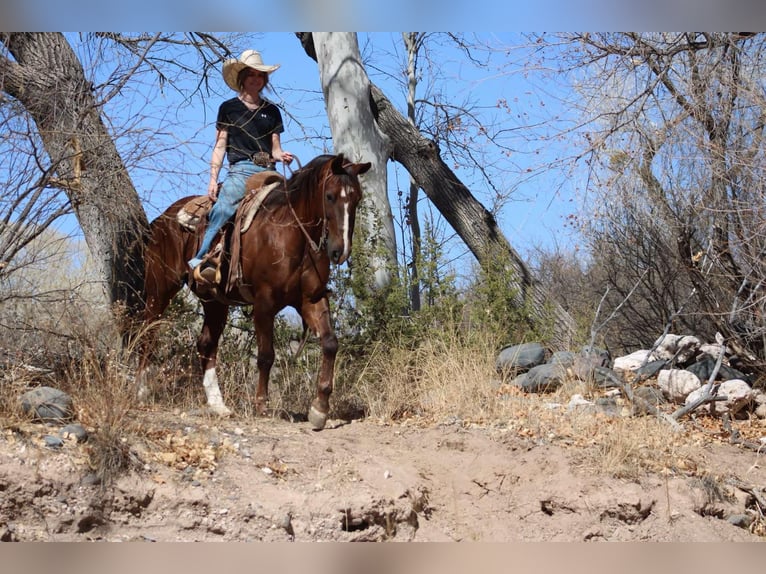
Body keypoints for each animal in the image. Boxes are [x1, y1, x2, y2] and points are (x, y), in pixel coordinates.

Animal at [142, 154, 376, 432]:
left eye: (357, 198)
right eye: (329, 196)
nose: (340, 251)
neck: (292, 233)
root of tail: (161, 219)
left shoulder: (312, 300)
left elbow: (330, 343)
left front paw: (319, 408)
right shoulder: (265, 303)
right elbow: (266, 355)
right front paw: (261, 405)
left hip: (215, 301)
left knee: (206, 343)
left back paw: (218, 406)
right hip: (160, 290)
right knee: (147, 332)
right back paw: (141, 389)